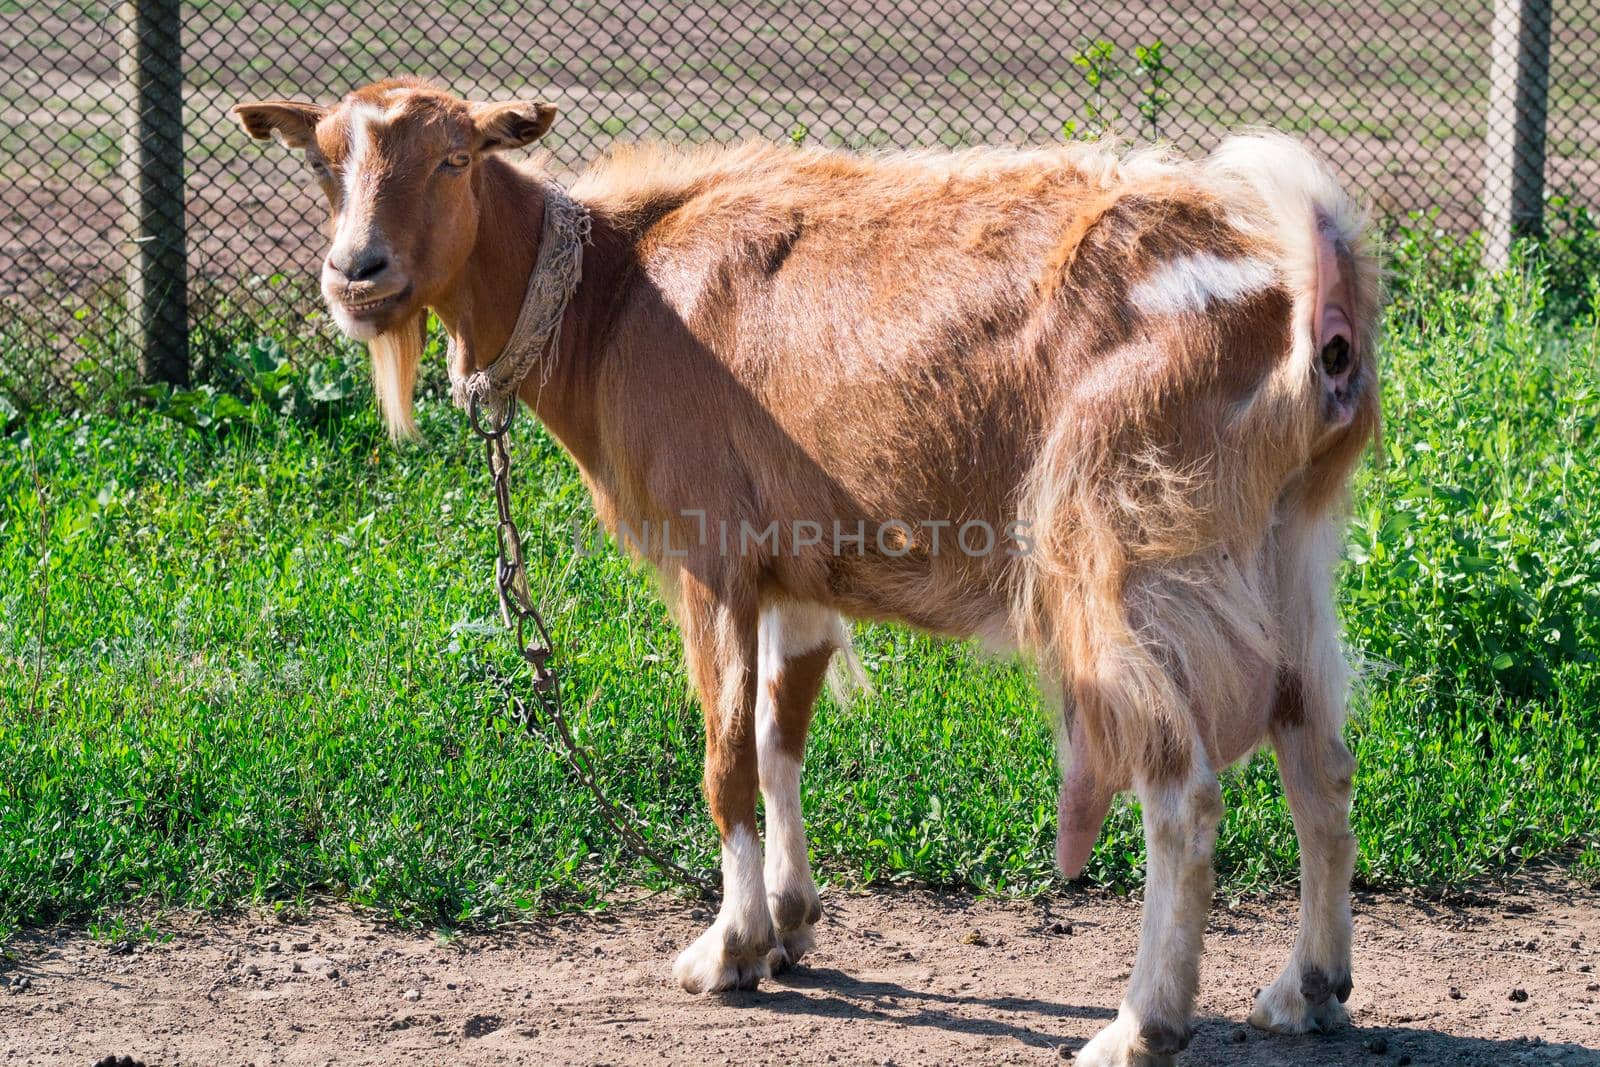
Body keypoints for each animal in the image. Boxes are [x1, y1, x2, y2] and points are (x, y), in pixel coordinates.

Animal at [233, 81, 1376, 1067]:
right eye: (326, 160)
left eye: (456, 156)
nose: (357, 272)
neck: (618, 291)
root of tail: (1300, 307)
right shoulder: (798, 571)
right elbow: (780, 736)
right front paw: (788, 923)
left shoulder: (710, 555)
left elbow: (724, 758)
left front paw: (724, 949)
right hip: (1283, 546)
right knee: (1316, 750)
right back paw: (1303, 989)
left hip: (1119, 544)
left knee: (1183, 789)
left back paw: (1141, 1024)